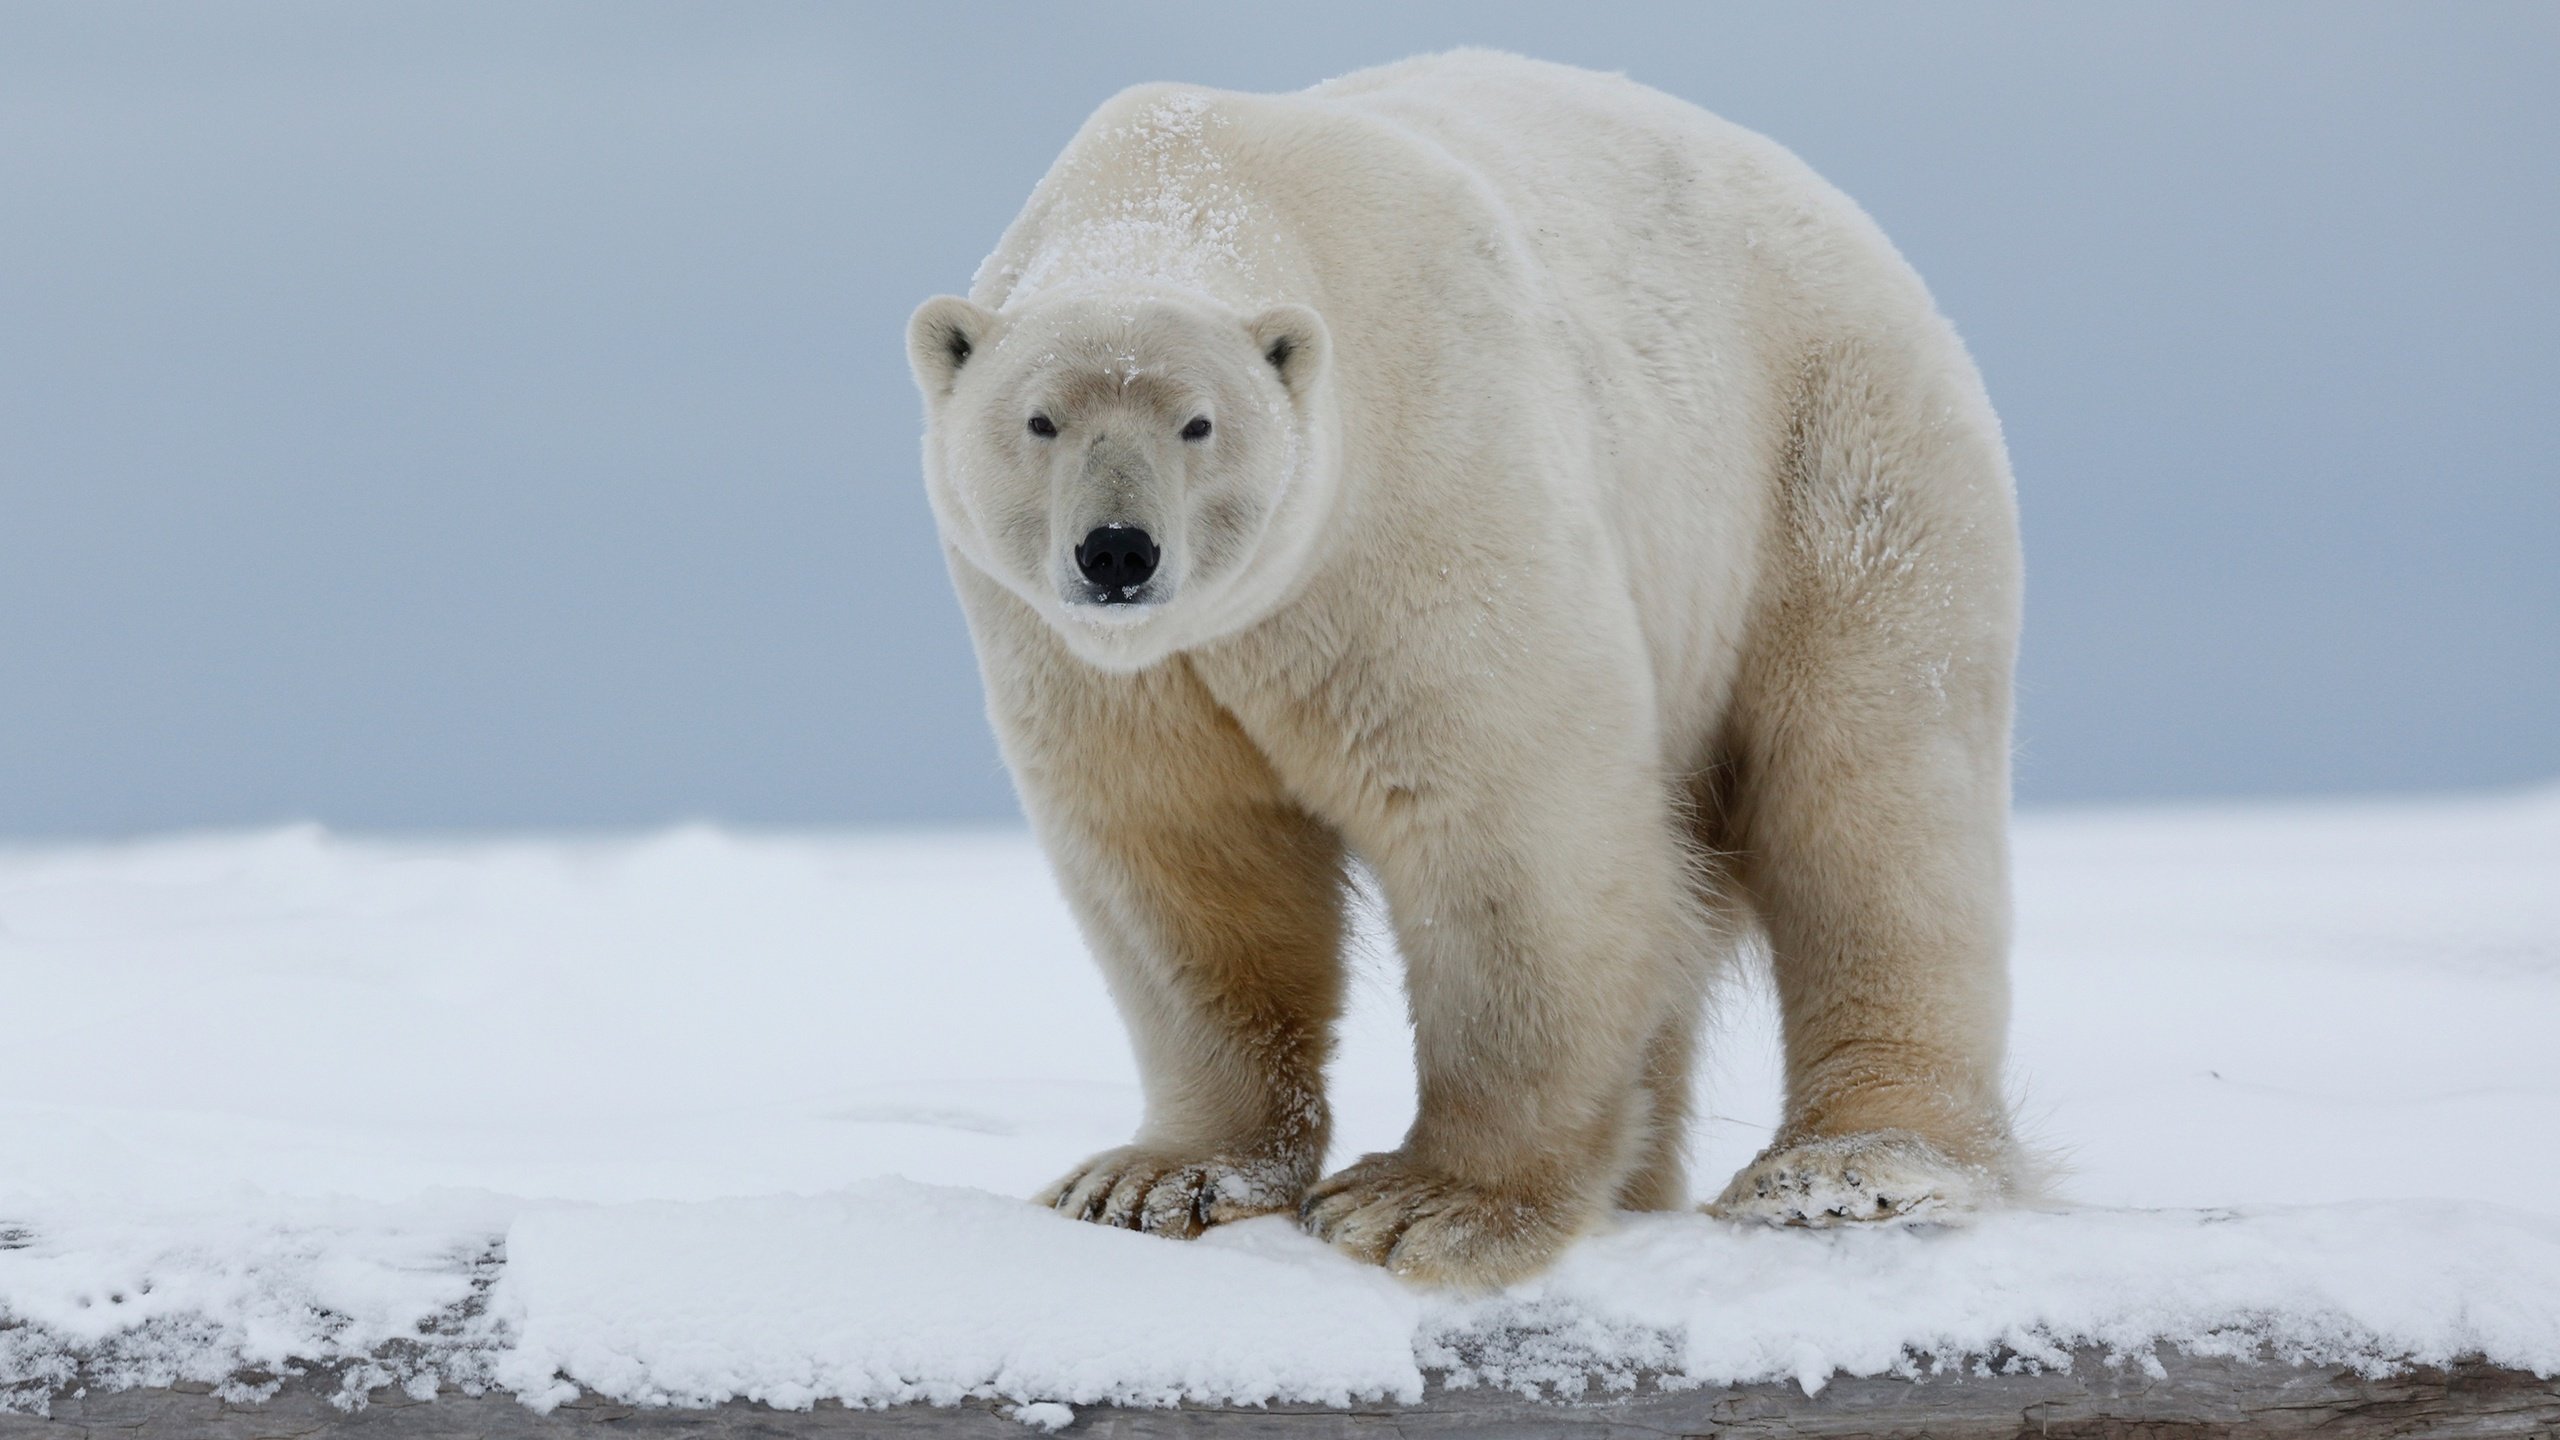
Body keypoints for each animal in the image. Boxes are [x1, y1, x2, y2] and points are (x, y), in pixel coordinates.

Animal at [911, 50, 2027, 1281]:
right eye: (1039, 421)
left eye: (1199, 424)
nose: (1117, 550)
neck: (1187, 180)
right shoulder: (1106, 662)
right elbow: (1185, 857)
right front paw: (1151, 1179)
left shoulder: (1422, 489)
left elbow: (1509, 833)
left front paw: (1425, 1204)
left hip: (1831, 467)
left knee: (1871, 805)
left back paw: (1849, 1169)